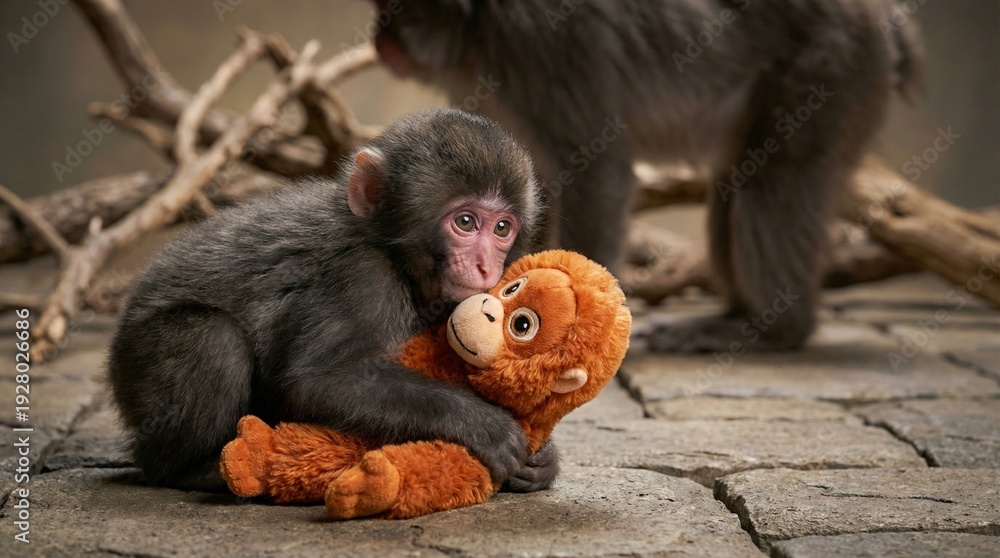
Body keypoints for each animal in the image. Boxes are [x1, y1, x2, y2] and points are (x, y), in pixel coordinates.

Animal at [107, 108, 558, 492]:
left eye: (502, 228)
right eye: (465, 222)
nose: (485, 267)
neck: (392, 253)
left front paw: (544, 461)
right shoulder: (360, 275)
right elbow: (322, 381)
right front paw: (484, 426)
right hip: (139, 361)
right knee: (215, 341)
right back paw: (194, 470)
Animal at [368, 0, 922, 352]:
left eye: (393, 5)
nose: (377, 35)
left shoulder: (543, 35)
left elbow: (598, 166)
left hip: (832, 65)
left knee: (773, 185)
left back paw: (776, 331)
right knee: (740, 179)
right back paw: (736, 318)